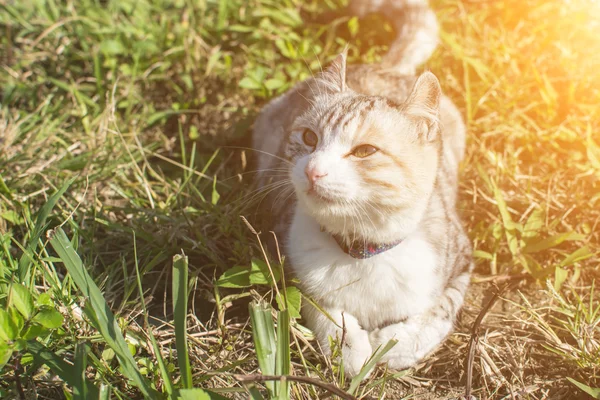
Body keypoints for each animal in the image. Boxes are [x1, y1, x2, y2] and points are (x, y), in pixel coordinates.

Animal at [250, 0, 474, 376]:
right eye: (309, 138)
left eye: (365, 151)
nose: (312, 170)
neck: (364, 249)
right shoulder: (282, 252)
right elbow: (317, 304)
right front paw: (348, 348)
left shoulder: (461, 262)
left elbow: (441, 310)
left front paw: (394, 344)